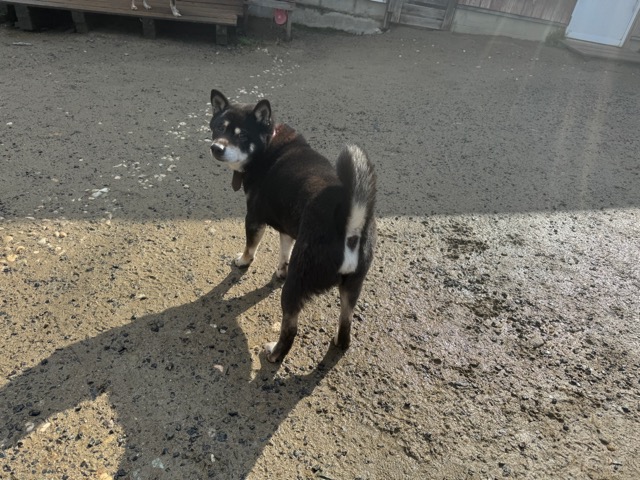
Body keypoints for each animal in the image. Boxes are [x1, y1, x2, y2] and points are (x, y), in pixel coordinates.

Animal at [209, 89, 376, 363]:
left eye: (242, 136)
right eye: (218, 128)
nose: (216, 147)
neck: (269, 145)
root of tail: (349, 230)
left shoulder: (254, 218)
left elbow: (250, 247)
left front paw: (243, 261)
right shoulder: (287, 228)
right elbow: (284, 251)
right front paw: (280, 270)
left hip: (296, 286)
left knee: (290, 329)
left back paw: (274, 353)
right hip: (352, 287)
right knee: (346, 322)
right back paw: (339, 341)